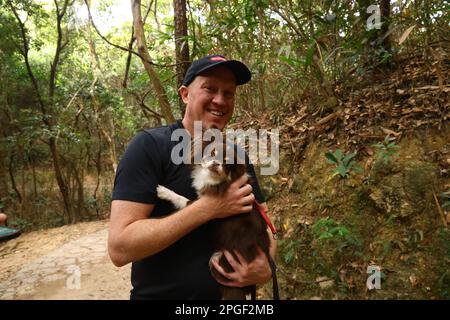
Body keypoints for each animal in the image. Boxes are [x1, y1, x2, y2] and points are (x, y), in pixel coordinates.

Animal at [158, 136, 278, 298]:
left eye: (227, 163)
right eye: (211, 154)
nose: (216, 163)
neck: (214, 179)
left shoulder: (205, 212)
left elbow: (184, 200)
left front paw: (164, 192)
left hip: (226, 269)